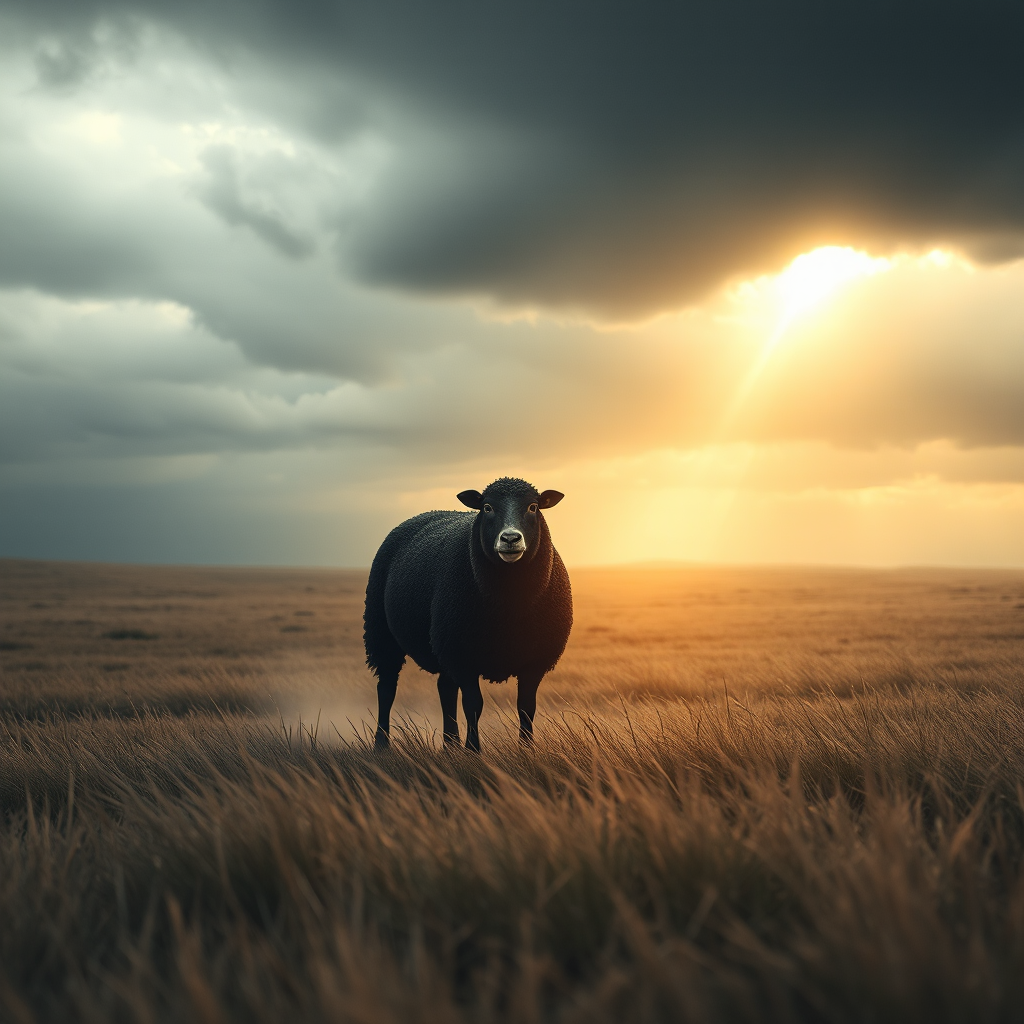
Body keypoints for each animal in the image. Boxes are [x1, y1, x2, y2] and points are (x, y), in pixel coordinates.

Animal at [363, 477, 572, 751]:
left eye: (533, 507)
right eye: (487, 507)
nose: (510, 538)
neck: (510, 605)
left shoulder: (534, 660)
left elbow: (526, 707)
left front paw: (526, 750)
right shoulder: (463, 655)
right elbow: (474, 705)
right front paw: (473, 750)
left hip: (442, 640)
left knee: (445, 689)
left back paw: (450, 745)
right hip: (382, 631)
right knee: (386, 687)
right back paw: (382, 744)